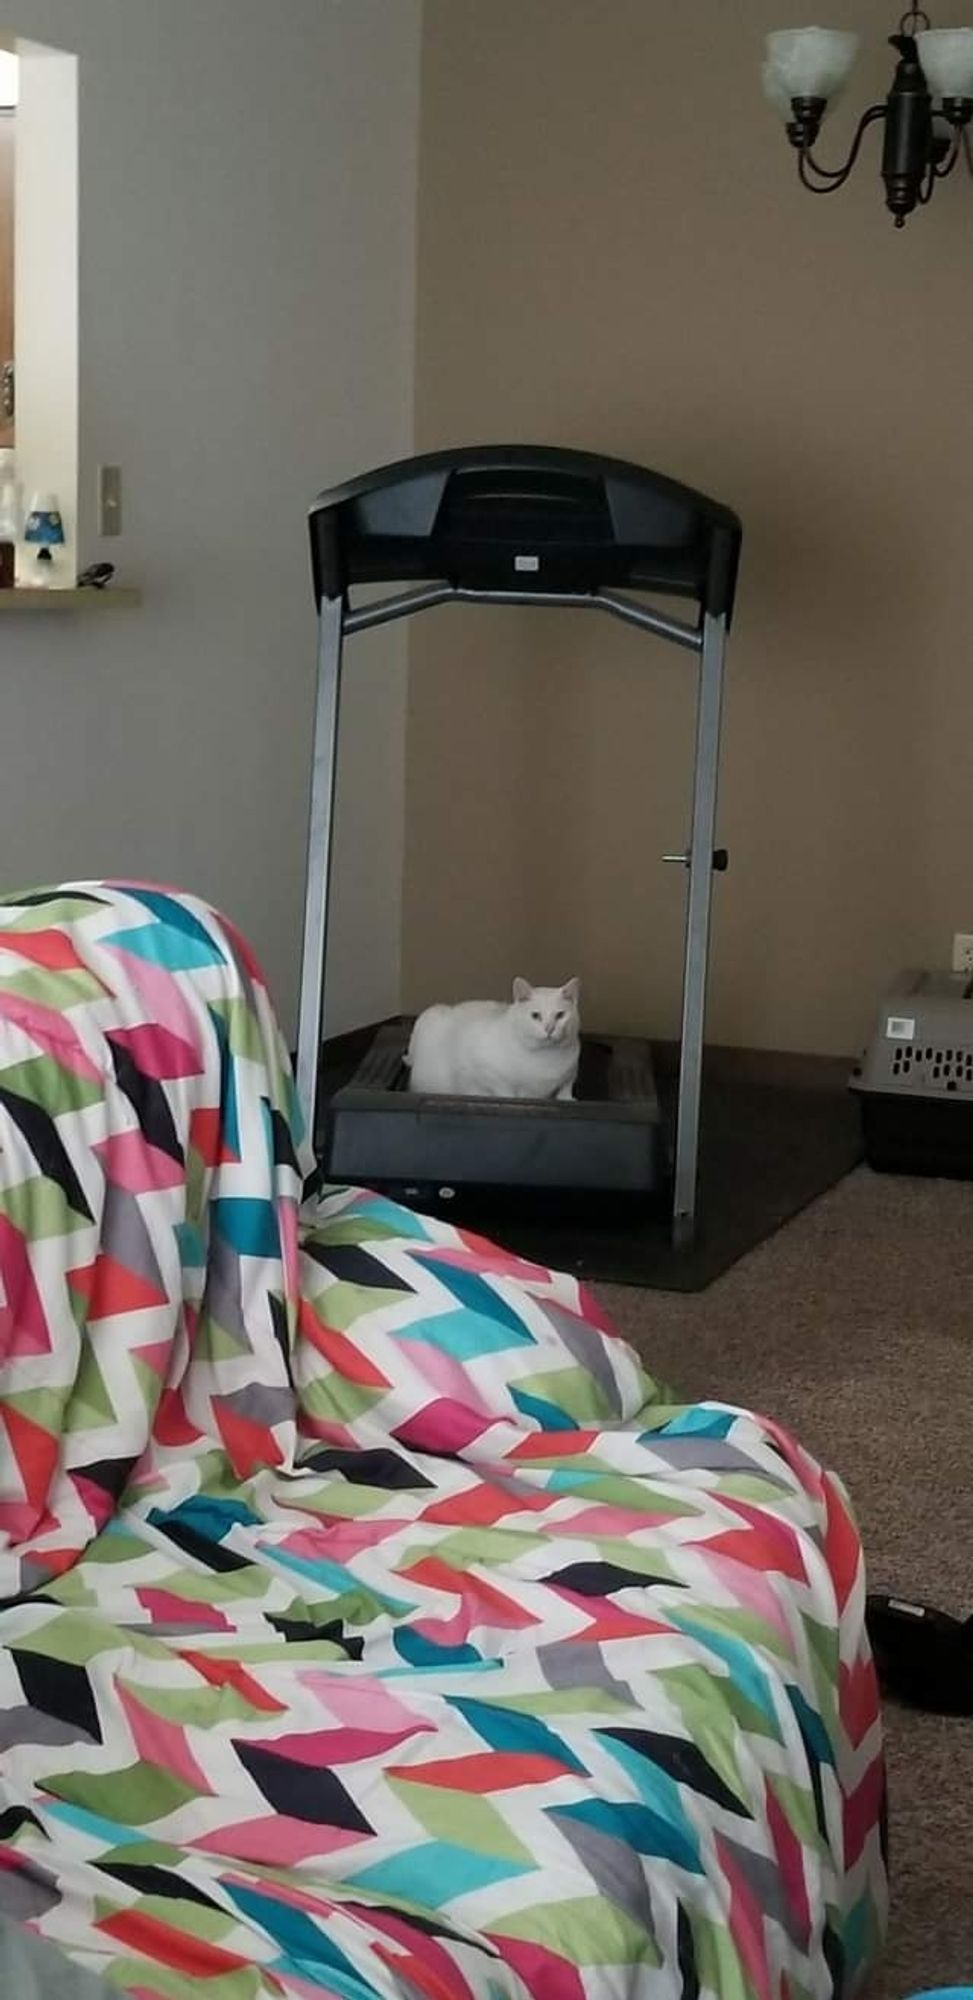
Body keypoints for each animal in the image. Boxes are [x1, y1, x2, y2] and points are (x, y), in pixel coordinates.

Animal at [406, 976, 580, 1104]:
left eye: (560, 1015)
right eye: (535, 1015)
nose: (549, 1029)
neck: (546, 1056)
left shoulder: (571, 1073)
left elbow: (565, 1089)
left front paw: (569, 1099)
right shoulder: (485, 1070)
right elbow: (505, 1092)